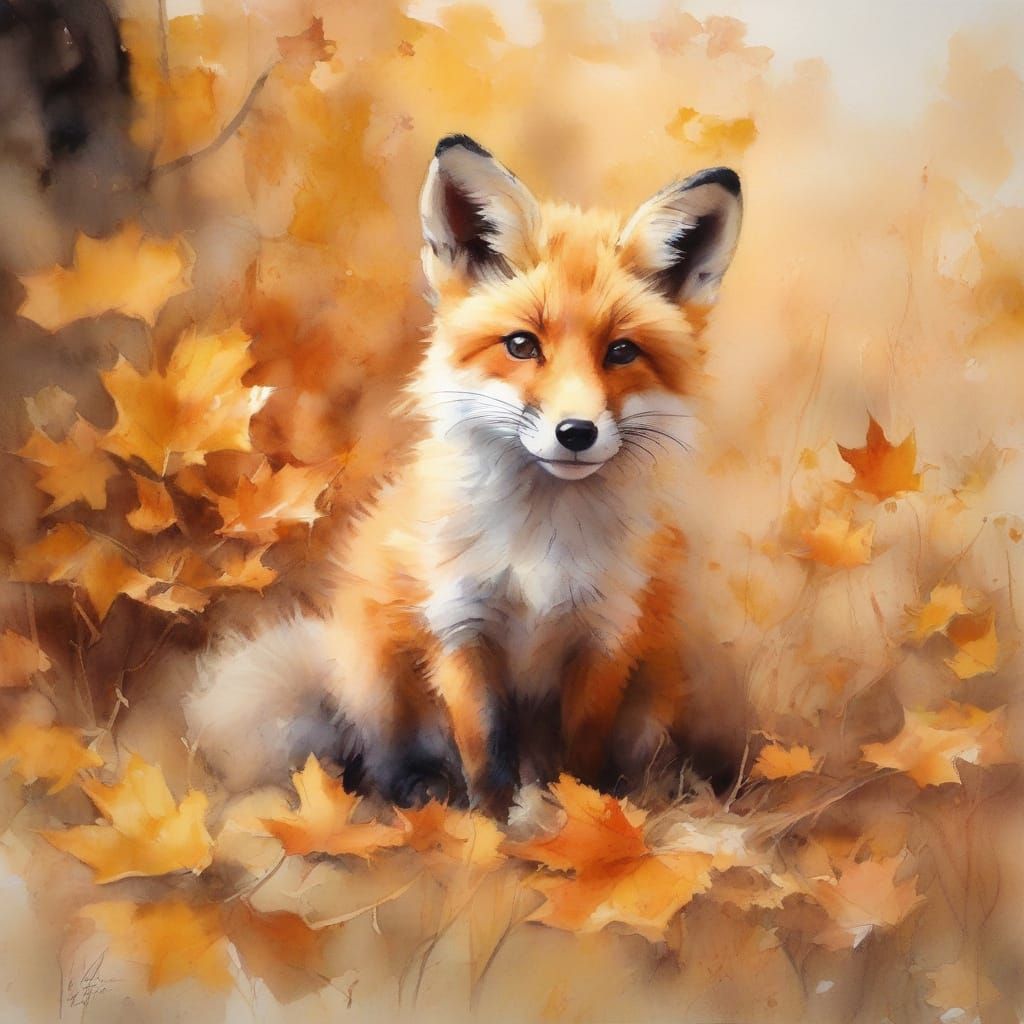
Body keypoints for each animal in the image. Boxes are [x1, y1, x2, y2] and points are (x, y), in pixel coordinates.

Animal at [186, 134, 743, 817]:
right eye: (522, 345)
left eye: (621, 352)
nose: (576, 432)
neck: (538, 549)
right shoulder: (460, 627)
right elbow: (484, 754)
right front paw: (489, 832)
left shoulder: (604, 636)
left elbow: (580, 757)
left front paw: (580, 822)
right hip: (375, 671)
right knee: (381, 759)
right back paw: (418, 793)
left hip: (653, 690)